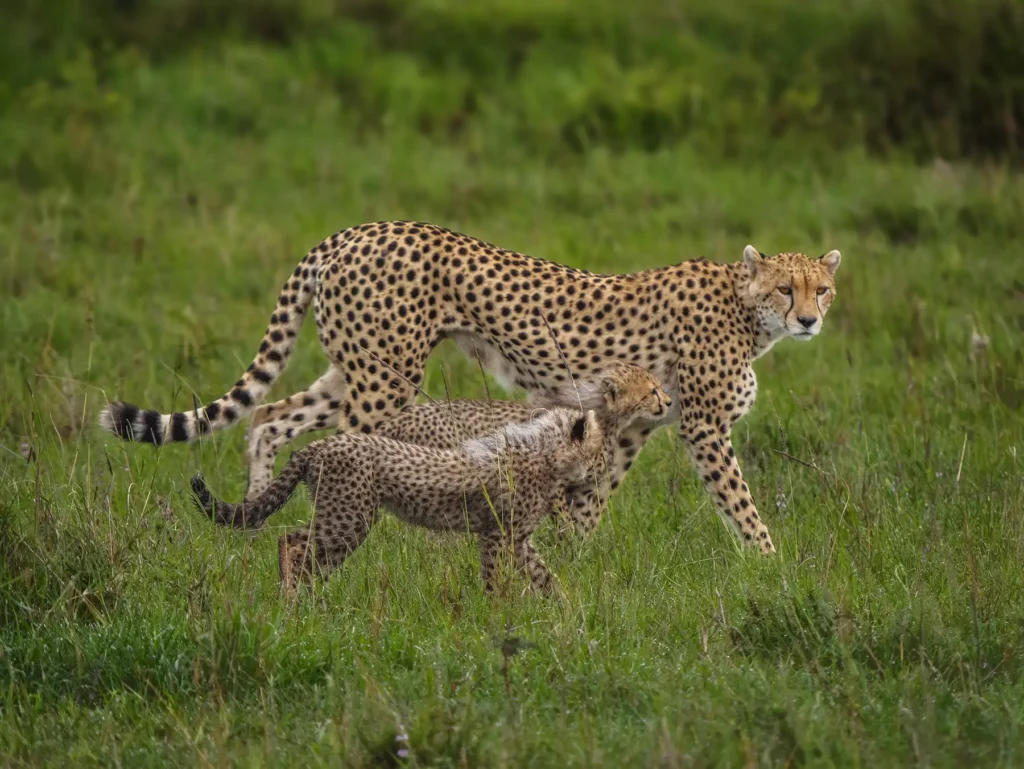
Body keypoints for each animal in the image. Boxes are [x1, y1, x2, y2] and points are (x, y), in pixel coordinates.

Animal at [189, 407, 605, 597]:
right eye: (599, 448)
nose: (600, 468)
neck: (545, 451)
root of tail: (319, 445)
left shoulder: (515, 538)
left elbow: (543, 574)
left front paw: (562, 607)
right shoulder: (497, 534)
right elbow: (495, 577)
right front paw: (498, 612)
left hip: (343, 519)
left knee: (308, 557)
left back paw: (307, 600)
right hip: (349, 518)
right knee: (290, 543)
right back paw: (292, 599)